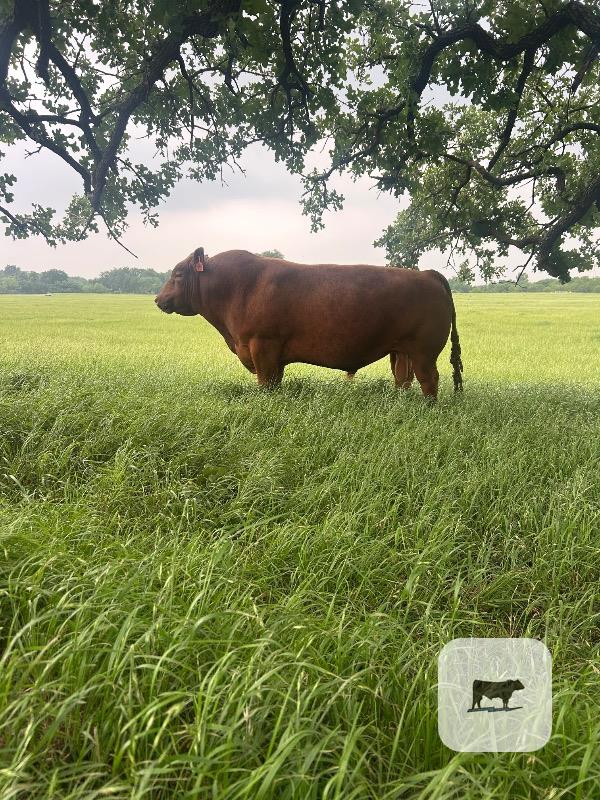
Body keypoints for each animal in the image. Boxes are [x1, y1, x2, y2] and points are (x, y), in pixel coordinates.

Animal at [155, 248, 463, 399]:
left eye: (178, 273)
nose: (158, 299)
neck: (235, 287)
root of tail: (427, 274)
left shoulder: (262, 345)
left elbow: (266, 384)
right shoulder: (273, 354)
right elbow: (275, 382)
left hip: (424, 351)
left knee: (429, 380)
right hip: (401, 350)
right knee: (403, 379)